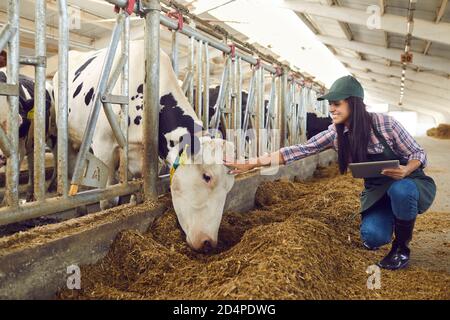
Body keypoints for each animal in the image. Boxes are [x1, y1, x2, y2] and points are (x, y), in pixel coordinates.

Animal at [0, 69, 57, 202]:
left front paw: (6, 202)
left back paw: (52, 186)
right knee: (32, 160)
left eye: (19, 121)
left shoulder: (18, 147)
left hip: (53, 133)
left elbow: (11, 172)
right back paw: (30, 193)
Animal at [53, 38, 236, 251]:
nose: (208, 242)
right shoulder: (103, 145)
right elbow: (109, 200)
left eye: (229, 187)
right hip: (67, 137)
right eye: (207, 177)